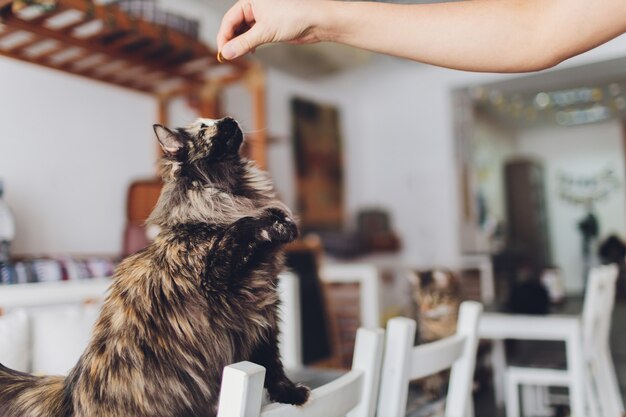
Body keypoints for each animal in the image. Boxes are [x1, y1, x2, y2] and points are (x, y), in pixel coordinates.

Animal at [0, 115, 310, 414]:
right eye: (204, 127)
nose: (230, 119)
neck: (233, 188)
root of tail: (69, 389)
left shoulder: (264, 312)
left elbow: (274, 366)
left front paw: (291, 395)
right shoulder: (218, 274)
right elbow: (242, 225)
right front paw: (273, 222)